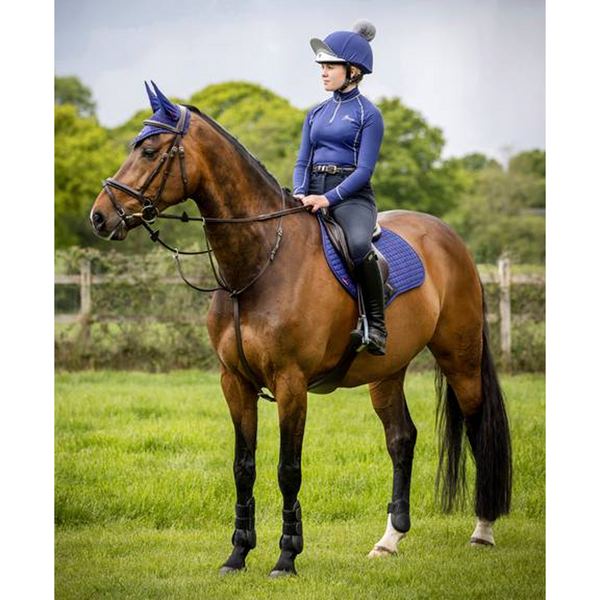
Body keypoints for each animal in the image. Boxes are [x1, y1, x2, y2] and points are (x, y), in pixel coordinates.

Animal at [89, 83, 510, 576]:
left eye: (150, 150)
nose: (100, 216)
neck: (258, 265)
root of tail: (450, 238)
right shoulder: (235, 382)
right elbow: (243, 467)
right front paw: (237, 554)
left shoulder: (290, 383)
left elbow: (288, 469)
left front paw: (286, 557)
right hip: (387, 372)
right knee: (401, 439)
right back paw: (389, 540)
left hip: (460, 359)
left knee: (479, 431)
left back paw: (482, 531)